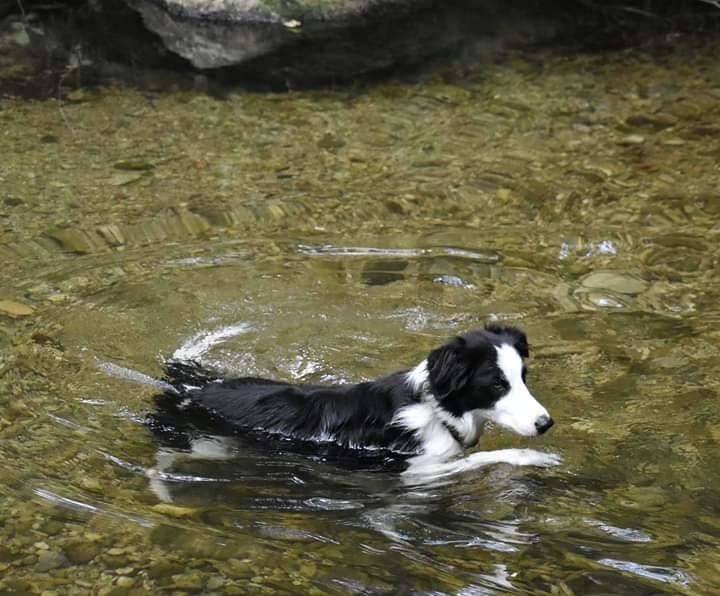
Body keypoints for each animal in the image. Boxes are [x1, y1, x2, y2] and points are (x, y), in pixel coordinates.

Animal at [149, 324, 560, 482]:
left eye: (523, 377)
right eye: (497, 384)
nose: (546, 423)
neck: (436, 410)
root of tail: (193, 386)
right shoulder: (416, 471)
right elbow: (484, 458)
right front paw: (536, 458)